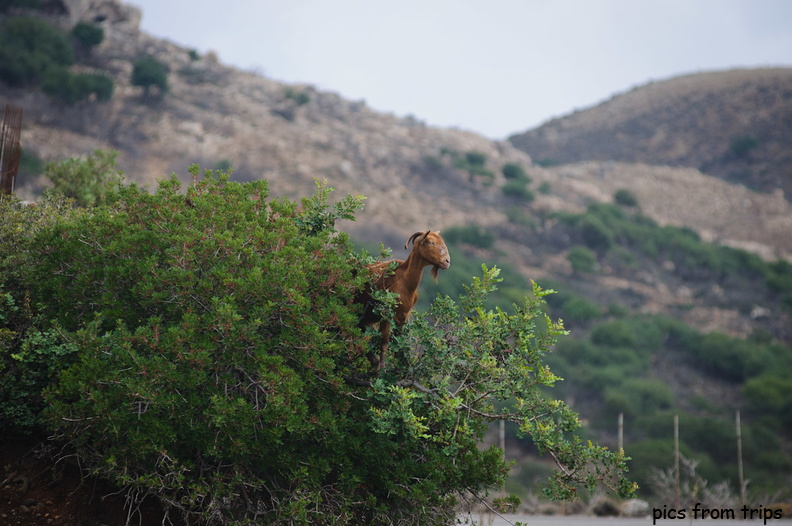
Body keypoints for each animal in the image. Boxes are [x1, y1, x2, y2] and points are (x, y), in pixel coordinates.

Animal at [356, 230, 448, 372]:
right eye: (431, 242)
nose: (447, 261)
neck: (405, 281)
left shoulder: (402, 316)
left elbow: (398, 342)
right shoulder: (387, 313)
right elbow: (384, 342)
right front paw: (381, 369)